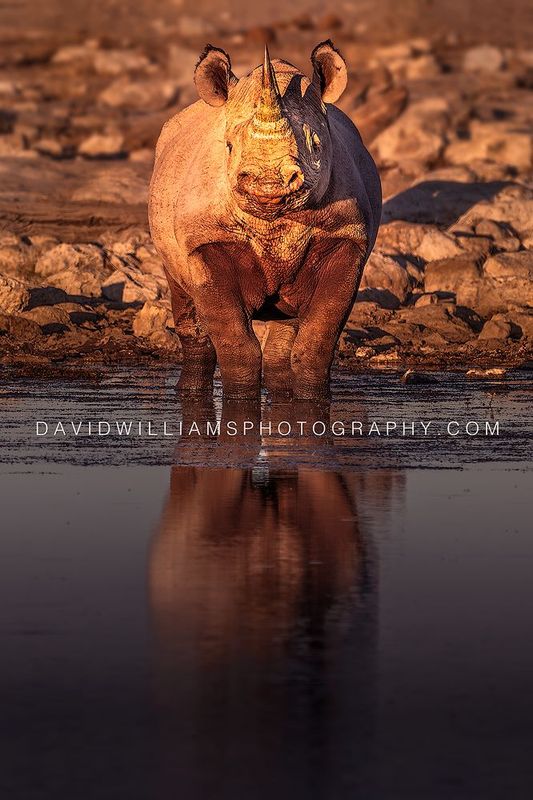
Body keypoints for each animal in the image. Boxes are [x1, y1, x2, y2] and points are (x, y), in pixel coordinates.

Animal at [149, 40, 381, 401]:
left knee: (287, 326)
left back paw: (281, 393)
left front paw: (312, 401)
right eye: (229, 147)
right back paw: (189, 394)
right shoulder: (207, 239)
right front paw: (239, 402)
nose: (269, 183)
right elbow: (235, 342)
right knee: (183, 296)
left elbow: (318, 339)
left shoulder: (345, 236)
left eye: (316, 146)